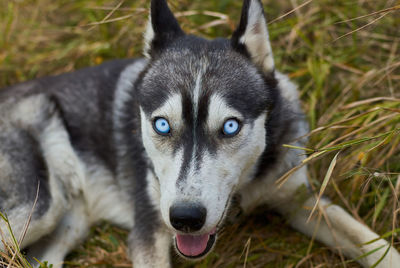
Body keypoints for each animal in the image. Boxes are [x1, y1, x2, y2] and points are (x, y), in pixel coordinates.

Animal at [0, 1, 400, 266]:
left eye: (230, 126)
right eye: (162, 124)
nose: (186, 218)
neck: (244, 191)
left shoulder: (301, 199)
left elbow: (374, 244)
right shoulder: (150, 232)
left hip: (66, 225)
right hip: (39, 209)